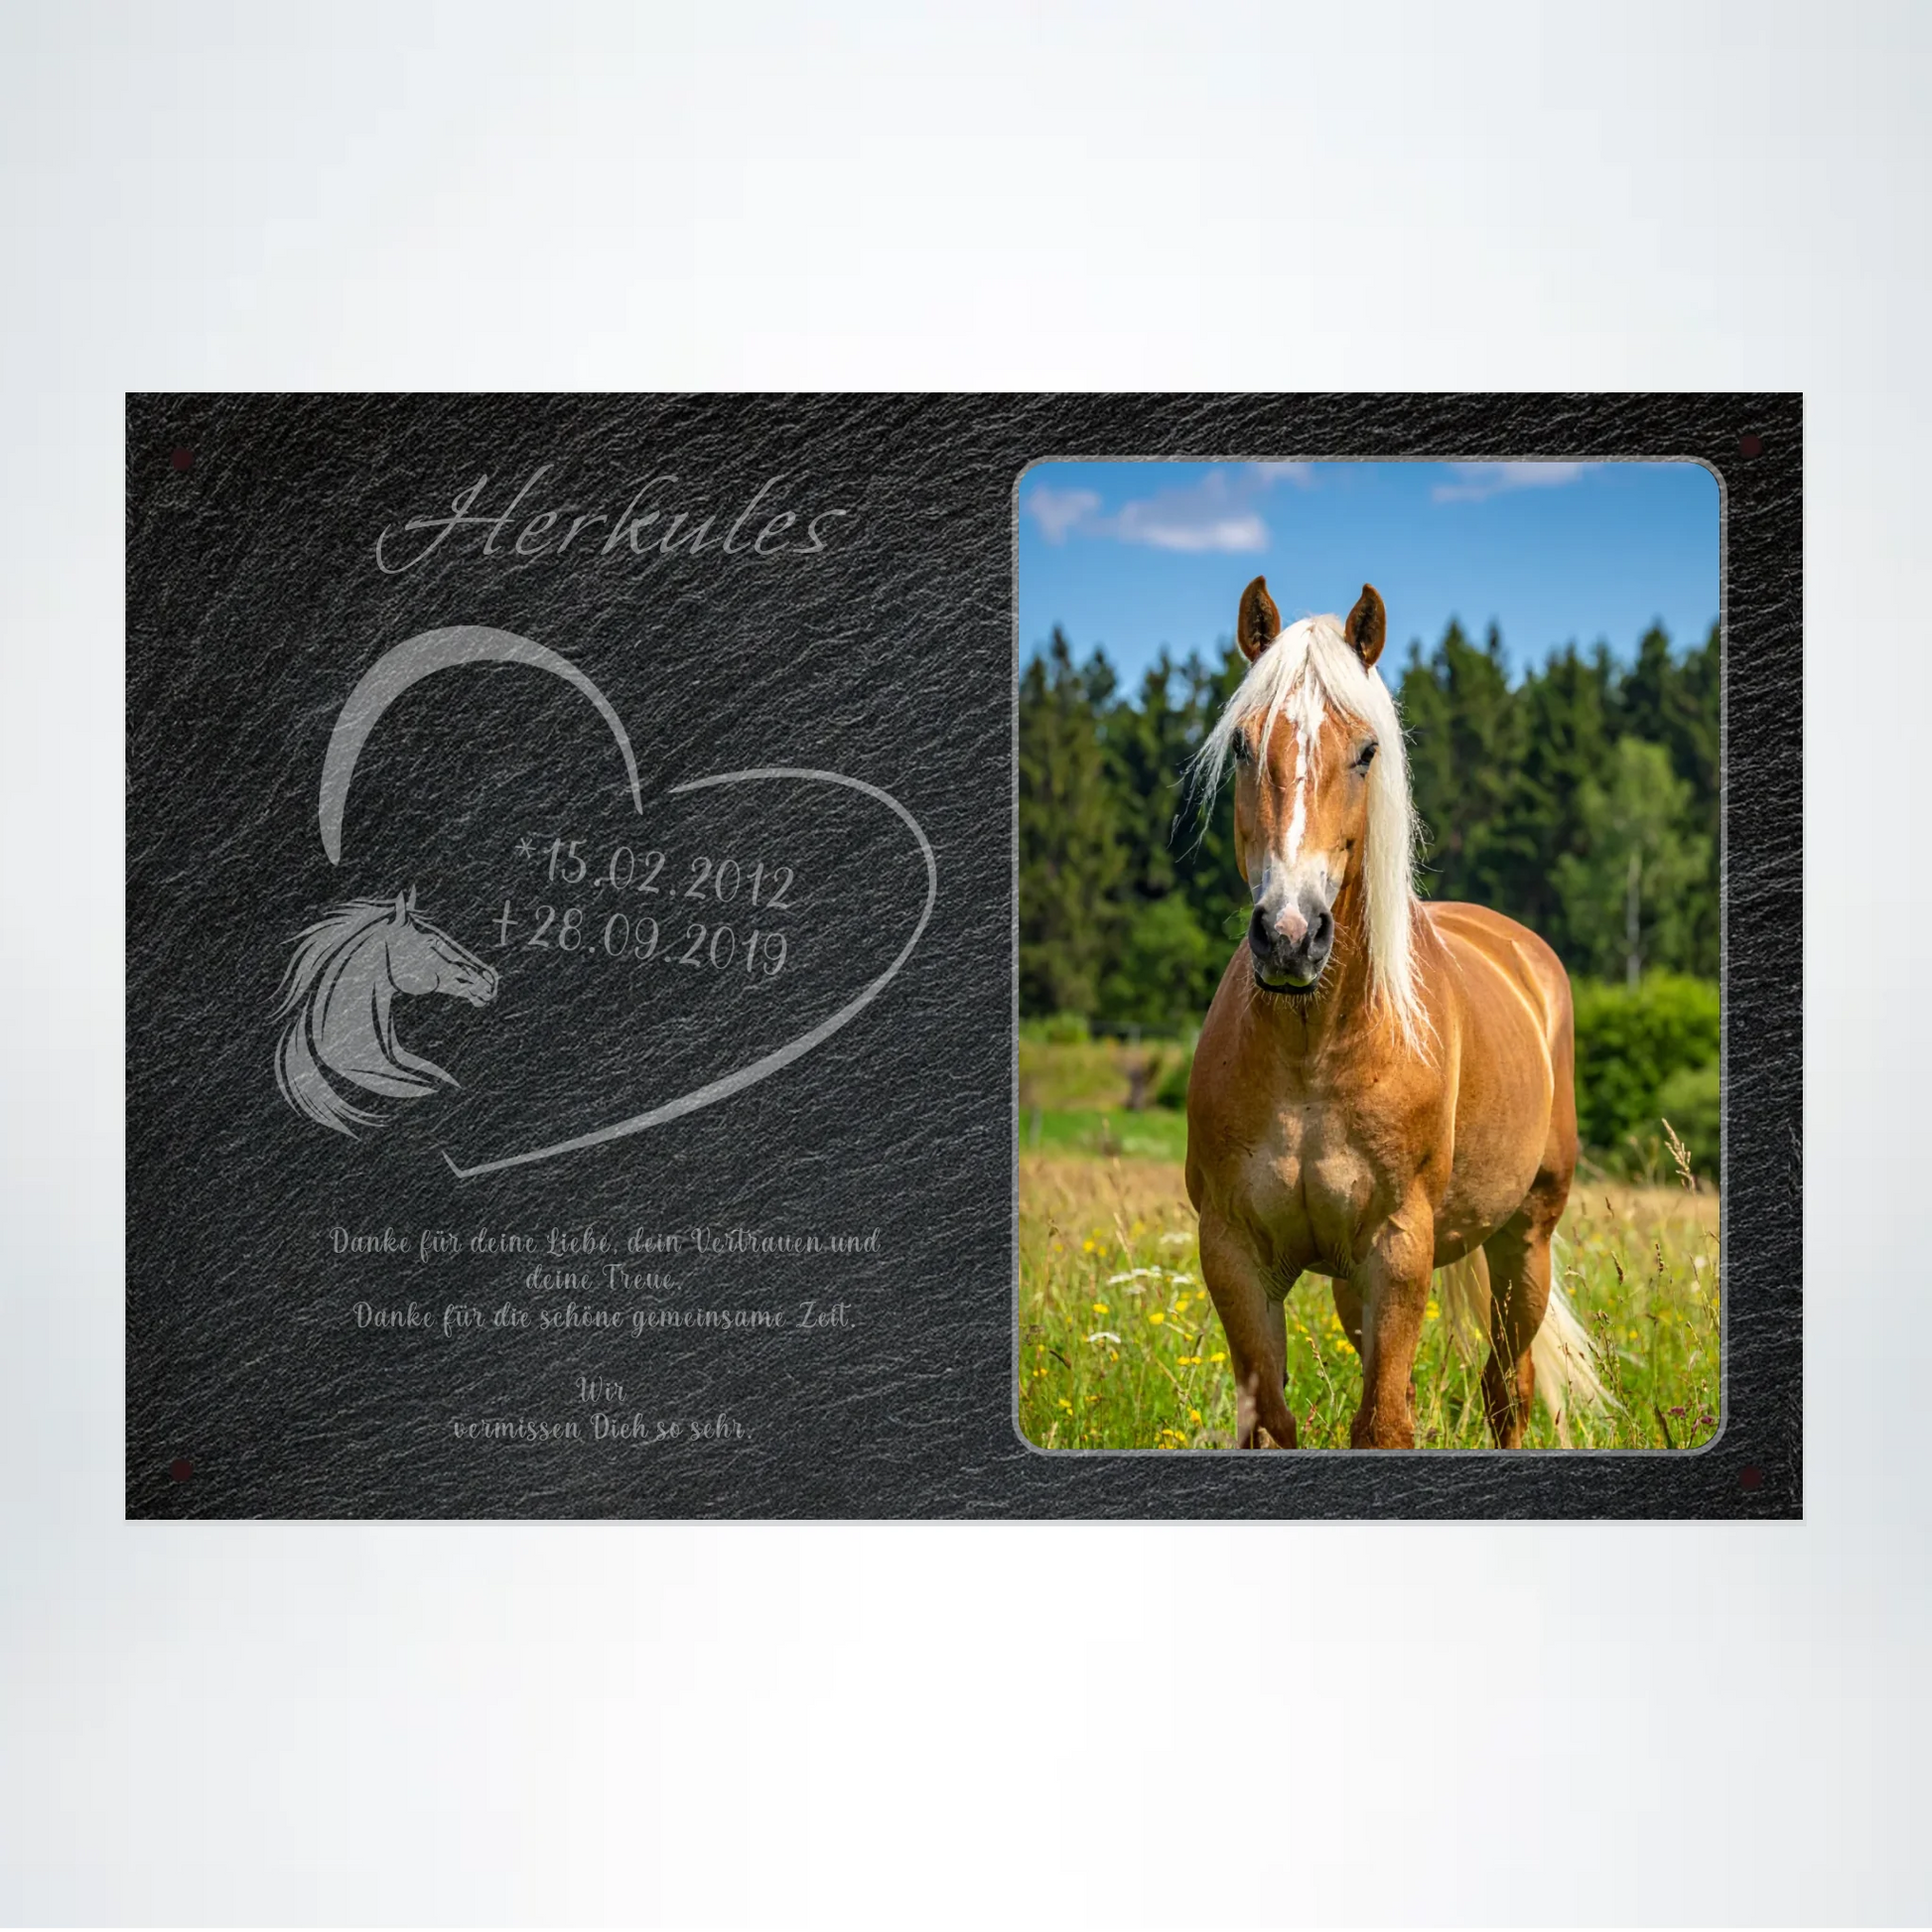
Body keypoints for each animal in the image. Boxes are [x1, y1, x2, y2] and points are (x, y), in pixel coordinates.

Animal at [1184, 577, 1610, 1449]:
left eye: (1366, 752)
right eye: (1243, 745)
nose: (1290, 935)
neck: (1313, 1053)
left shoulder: (1399, 1251)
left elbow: (1383, 1424)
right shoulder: (1235, 1254)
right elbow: (1274, 1422)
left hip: (1526, 1241)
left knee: (1507, 1387)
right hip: (1356, 1286)